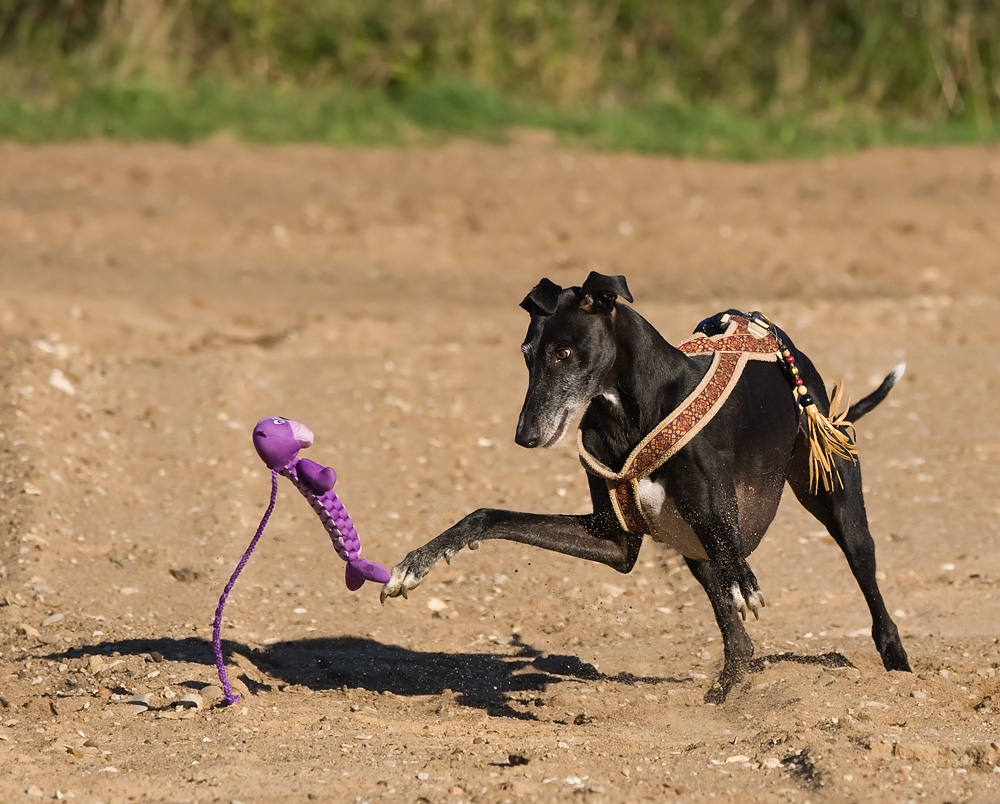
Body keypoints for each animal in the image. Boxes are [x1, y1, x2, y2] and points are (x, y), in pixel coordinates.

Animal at [378, 272, 912, 704]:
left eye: (564, 353)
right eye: (527, 356)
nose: (525, 436)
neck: (633, 410)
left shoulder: (716, 510)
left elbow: (729, 542)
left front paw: (746, 581)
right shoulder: (614, 540)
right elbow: (489, 516)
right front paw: (417, 563)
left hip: (837, 499)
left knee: (866, 579)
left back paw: (898, 666)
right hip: (694, 552)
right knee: (736, 637)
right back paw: (728, 690)